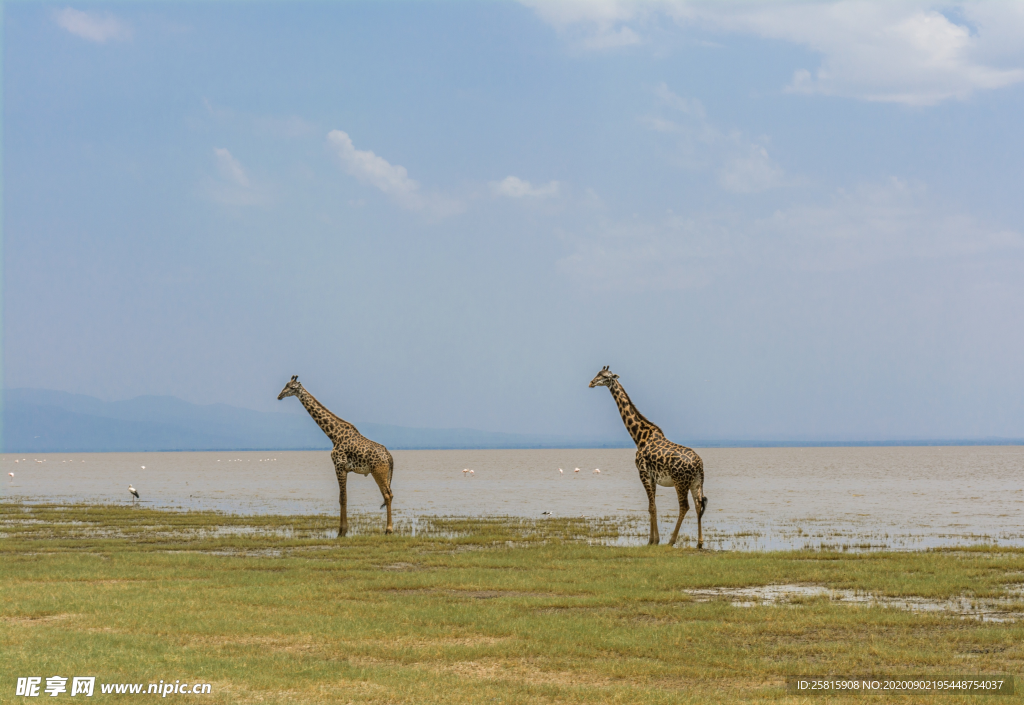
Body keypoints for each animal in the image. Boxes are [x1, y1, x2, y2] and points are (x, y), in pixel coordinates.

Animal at [278, 377, 393, 536]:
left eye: (292, 387)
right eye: (286, 385)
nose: (280, 396)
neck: (333, 435)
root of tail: (389, 456)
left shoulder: (339, 466)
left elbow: (343, 498)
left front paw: (342, 531)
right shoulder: (344, 469)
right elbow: (342, 497)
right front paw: (342, 530)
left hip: (378, 472)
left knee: (387, 495)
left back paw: (389, 529)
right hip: (385, 473)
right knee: (390, 494)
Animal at [589, 366, 708, 549]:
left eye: (605, 377)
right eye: (597, 374)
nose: (591, 383)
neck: (639, 437)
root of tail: (699, 464)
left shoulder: (643, 473)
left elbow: (651, 507)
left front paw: (653, 540)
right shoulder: (653, 477)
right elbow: (653, 507)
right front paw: (653, 540)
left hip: (680, 482)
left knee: (684, 506)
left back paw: (671, 541)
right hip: (696, 482)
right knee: (698, 505)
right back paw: (700, 543)